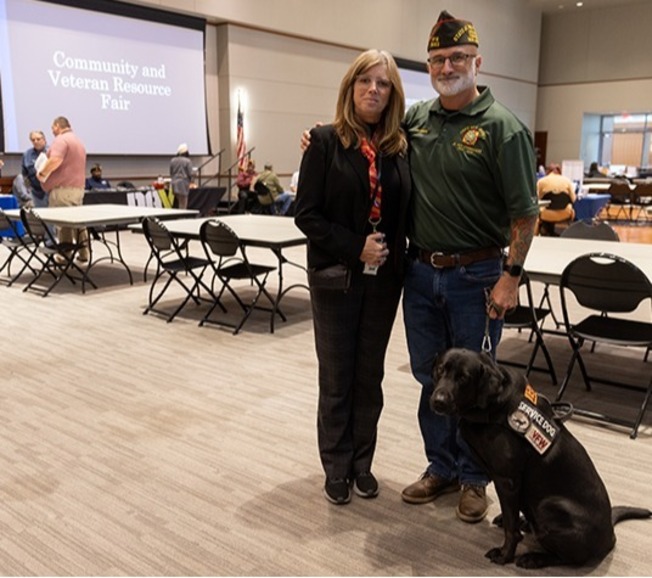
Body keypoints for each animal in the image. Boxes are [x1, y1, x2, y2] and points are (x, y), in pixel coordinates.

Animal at [430, 346, 648, 568]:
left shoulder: (507, 481)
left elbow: (511, 529)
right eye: (440, 369)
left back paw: (534, 557)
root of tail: (610, 534)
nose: (438, 401)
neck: (493, 406)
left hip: (549, 507)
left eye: (464, 378)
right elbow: (511, 518)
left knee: (566, 558)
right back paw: (526, 524)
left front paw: (505, 555)